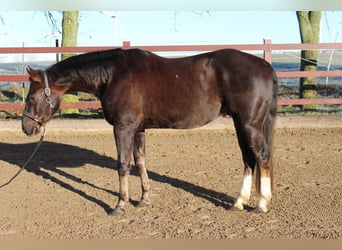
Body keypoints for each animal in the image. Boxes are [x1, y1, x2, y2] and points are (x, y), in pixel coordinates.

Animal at [21, 47, 278, 216]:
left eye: (31, 96)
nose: (27, 127)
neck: (113, 74)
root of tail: (265, 66)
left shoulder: (123, 128)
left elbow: (123, 165)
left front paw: (120, 206)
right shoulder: (139, 129)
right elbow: (140, 162)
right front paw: (144, 199)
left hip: (249, 124)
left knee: (262, 156)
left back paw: (262, 204)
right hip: (240, 124)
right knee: (248, 159)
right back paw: (238, 202)